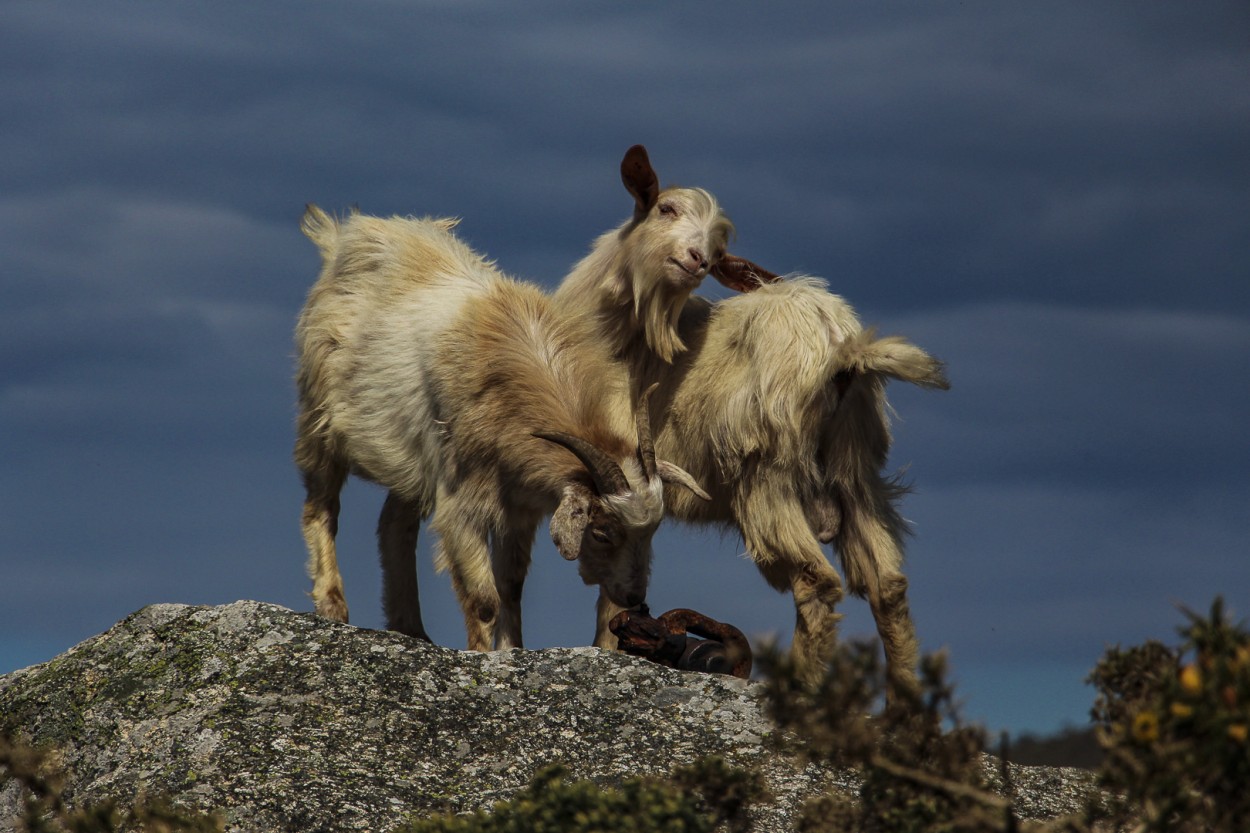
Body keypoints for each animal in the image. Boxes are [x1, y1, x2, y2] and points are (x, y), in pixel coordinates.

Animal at [288, 206, 710, 650]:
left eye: (652, 532)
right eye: (601, 533)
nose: (634, 598)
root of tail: (347, 235)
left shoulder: (518, 507)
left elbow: (511, 586)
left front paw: (511, 649)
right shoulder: (462, 504)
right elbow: (484, 599)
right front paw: (479, 653)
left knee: (394, 524)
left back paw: (411, 628)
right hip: (318, 418)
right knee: (321, 506)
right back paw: (333, 605)